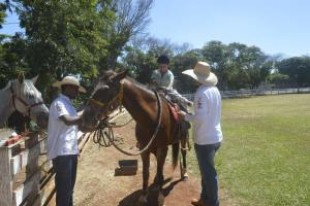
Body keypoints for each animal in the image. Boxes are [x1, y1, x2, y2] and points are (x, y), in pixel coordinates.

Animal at [80, 70, 189, 205]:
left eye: (105, 89)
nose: (85, 119)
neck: (151, 117)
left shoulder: (162, 148)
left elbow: (159, 170)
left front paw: (160, 197)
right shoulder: (144, 148)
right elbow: (146, 172)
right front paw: (143, 196)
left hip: (183, 137)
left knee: (183, 153)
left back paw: (184, 174)